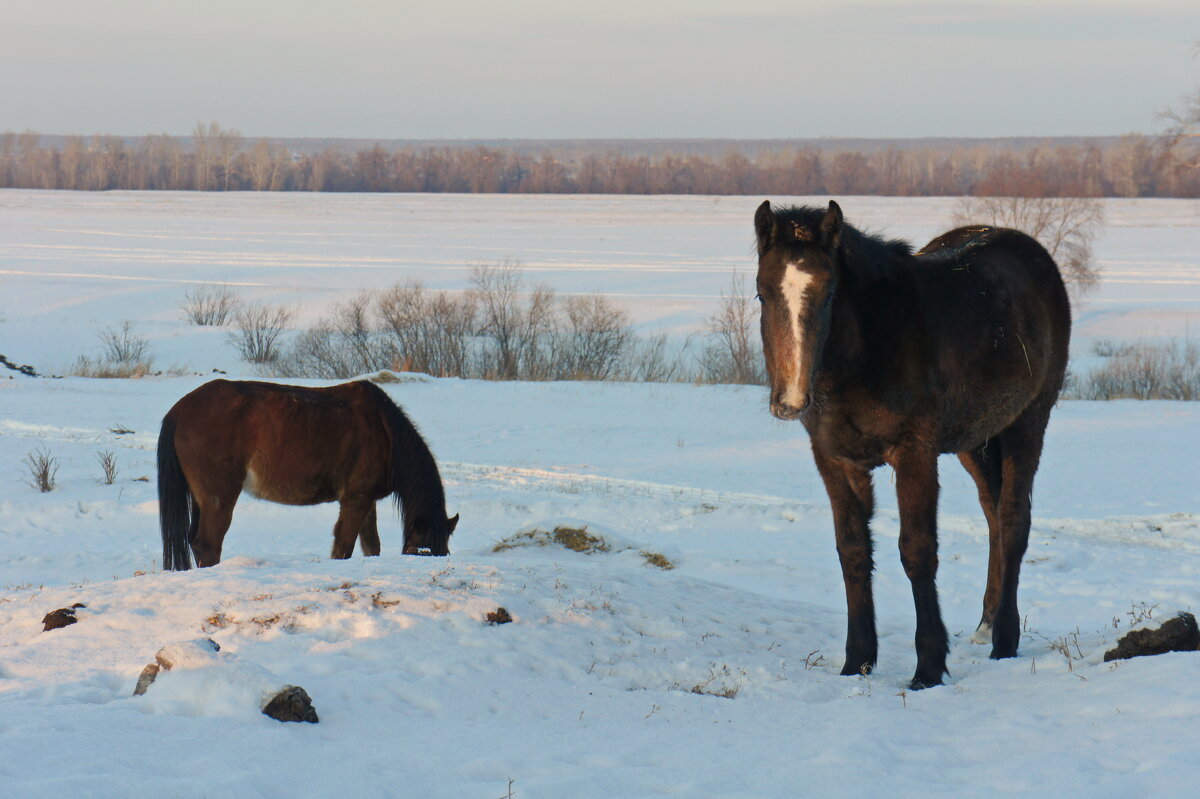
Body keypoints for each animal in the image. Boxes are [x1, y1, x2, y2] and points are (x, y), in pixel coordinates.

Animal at [157, 379, 456, 568]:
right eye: (422, 550)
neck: (385, 431)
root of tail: (178, 411)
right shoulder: (355, 500)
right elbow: (343, 547)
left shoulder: (366, 500)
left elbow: (372, 546)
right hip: (219, 498)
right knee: (208, 543)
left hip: (200, 500)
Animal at [753, 197, 1075, 686]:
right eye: (762, 293)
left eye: (828, 295)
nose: (790, 401)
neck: (867, 349)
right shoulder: (835, 459)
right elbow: (852, 551)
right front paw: (857, 661)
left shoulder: (915, 454)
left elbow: (917, 551)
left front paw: (928, 667)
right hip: (974, 442)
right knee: (993, 516)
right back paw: (985, 625)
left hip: (1026, 424)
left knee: (1014, 522)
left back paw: (1004, 639)